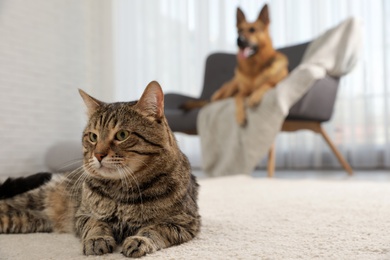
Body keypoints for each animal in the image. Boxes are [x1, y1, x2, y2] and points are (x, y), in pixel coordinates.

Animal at [0, 82, 201, 258]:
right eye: (93, 137)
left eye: (122, 135)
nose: (98, 154)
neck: (122, 191)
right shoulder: (83, 215)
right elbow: (96, 224)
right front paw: (97, 239)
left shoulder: (185, 222)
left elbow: (154, 229)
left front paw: (140, 240)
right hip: (32, 198)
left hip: (26, 220)